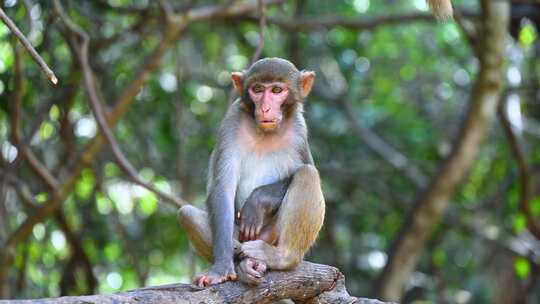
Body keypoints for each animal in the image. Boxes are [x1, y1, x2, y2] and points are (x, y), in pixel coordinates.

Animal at [179, 57, 324, 288]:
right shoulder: (232, 122)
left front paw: (257, 202)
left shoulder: (299, 129)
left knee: (307, 174)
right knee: (187, 214)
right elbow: (222, 190)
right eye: (257, 89)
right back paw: (243, 262)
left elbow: (306, 167)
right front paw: (221, 268)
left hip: (270, 234)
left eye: (276, 90)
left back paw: (280, 257)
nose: (265, 108)